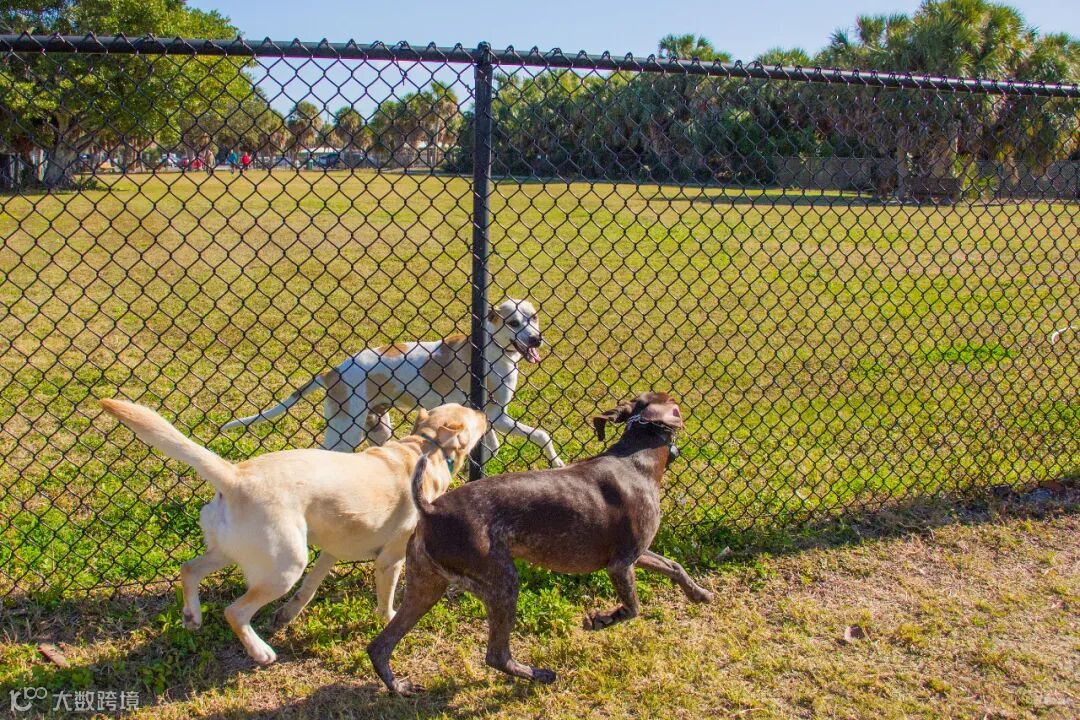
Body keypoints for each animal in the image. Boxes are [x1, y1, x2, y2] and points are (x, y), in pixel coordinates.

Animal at [99, 398, 487, 665]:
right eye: (470, 414)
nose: (483, 410)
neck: (424, 447)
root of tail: (234, 475)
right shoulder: (391, 560)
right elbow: (387, 604)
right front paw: (391, 620)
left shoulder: (332, 550)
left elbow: (309, 589)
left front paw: (287, 616)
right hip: (284, 567)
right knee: (234, 612)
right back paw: (260, 652)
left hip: (229, 552)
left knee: (188, 569)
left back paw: (192, 616)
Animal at [221, 298, 564, 468]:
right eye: (513, 323)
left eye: (533, 317)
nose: (537, 339)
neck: (493, 349)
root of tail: (334, 371)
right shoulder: (499, 417)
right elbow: (542, 435)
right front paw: (558, 463)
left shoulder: (490, 419)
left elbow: (492, 449)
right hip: (346, 430)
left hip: (376, 427)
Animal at [367, 391, 714, 694]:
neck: (637, 459)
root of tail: (430, 508)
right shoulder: (621, 564)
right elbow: (632, 608)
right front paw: (601, 620)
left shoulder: (636, 554)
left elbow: (674, 565)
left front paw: (699, 594)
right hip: (502, 583)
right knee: (496, 655)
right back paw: (539, 675)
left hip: (428, 586)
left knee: (379, 645)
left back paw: (399, 687)